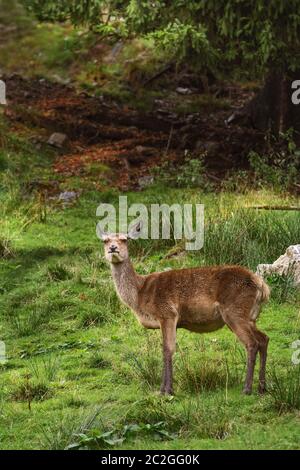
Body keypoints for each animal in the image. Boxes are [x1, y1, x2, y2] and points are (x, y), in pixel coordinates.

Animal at [98, 222, 270, 394]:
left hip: (234, 311)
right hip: (250, 316)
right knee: (264, 338)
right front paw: (164, 389)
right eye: (105, 240)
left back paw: (247, 388)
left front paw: (166, 390)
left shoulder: (167, 313)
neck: (140, 296)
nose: (113, 248)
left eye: (124, 239)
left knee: (252, 343)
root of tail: (262, 286)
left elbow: (167, 349)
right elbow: (166, 349)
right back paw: (262, 387)